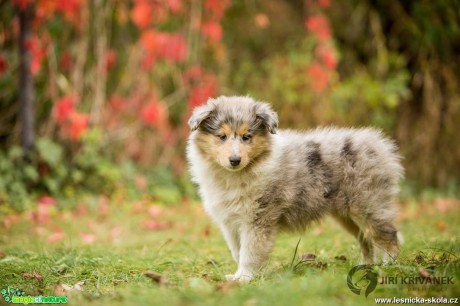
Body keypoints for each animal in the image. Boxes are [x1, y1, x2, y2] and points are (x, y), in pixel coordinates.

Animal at [186, 96, 402, 282]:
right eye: (221, 136)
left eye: (247, 137)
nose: (235, 160)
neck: (236, 175)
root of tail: (377, 144)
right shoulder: (230, 223)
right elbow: (238, 251)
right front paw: (238, 276)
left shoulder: (257, 220)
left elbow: (249, 252)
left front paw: (245, 277)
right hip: (347, 215)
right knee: (367, 240)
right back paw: (365, 267)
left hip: (368, 205)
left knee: (388, 235)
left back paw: (389, 266)